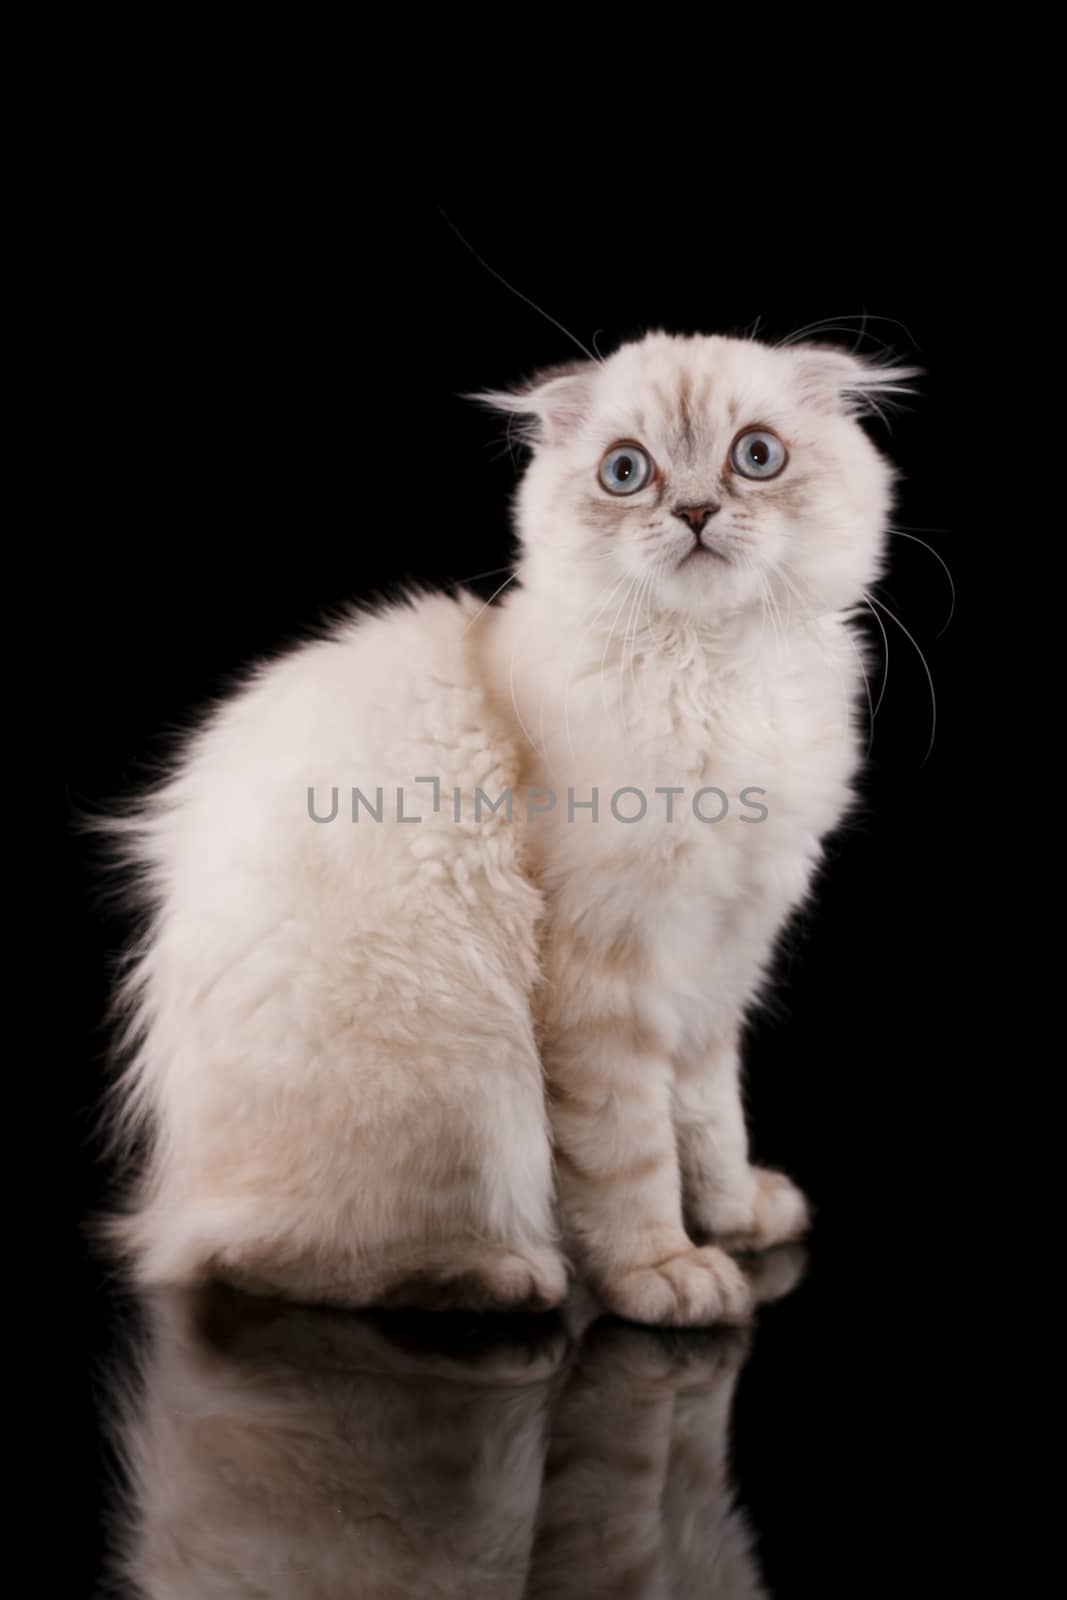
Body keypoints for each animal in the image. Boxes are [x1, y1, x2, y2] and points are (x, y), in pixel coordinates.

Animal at [103, 328, 915, 1324]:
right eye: (625, 472)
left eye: (755, 457)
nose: (692, 511)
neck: (716, 673)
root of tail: (174, 1203)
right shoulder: (605, 973)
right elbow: (631, 1156)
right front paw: (662, 1272)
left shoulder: (721, 960)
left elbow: (712, 1118)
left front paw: (736, 1218)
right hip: (465, 1076)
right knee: (261, 1260)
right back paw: (508, 1273)